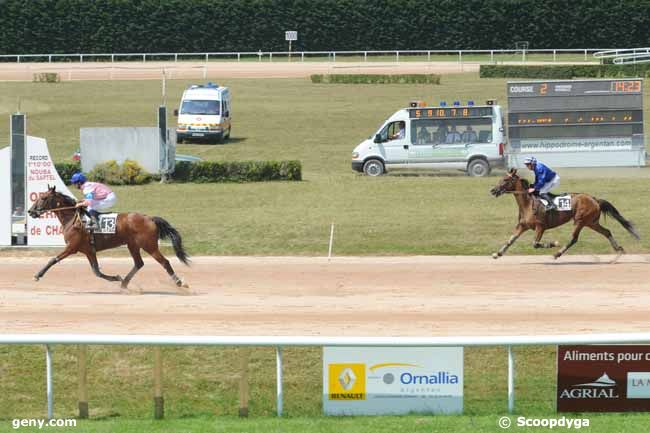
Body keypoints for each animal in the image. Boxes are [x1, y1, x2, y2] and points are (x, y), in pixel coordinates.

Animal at [28, 185, 190, 290]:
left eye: (43, 197)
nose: (30, 211)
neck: (72, 219)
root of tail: (149, 218)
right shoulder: (88, 251)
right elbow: (97, 272)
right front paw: (116, 278)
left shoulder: (71, 247)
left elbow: (53, 260)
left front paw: (37, 275)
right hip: (133, 245)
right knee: (139, 263)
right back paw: (124, 283)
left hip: (149, 245)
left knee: (165, 262)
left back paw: (180, 283)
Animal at [488, 169, 636, 260]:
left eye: (505, 180)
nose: (493, 190)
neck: (528, 203)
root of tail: (594, 199)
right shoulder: (522, 226)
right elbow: (511, 240)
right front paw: (497, 253)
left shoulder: (540, 226)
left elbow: (535, 243)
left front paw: (554, 243)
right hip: (591, 222)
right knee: (606, 232)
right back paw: (619, 249)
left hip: (580, 221)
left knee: (574, 238)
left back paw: (557, 253)